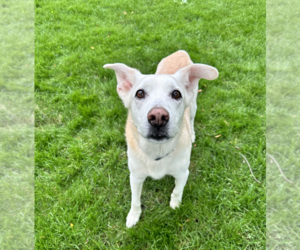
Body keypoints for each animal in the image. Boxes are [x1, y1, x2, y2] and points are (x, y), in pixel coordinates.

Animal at [103, 49, 218, 228]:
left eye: (176, 94)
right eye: (140, 93)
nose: (158, 117)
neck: (156, 152)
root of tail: (180, 51)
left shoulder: (183, 173)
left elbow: (177, 190)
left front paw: (175, 204)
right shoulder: (135, 176)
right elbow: (135, 200)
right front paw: (133, 216)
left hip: (193, 105)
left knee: (191, 119)